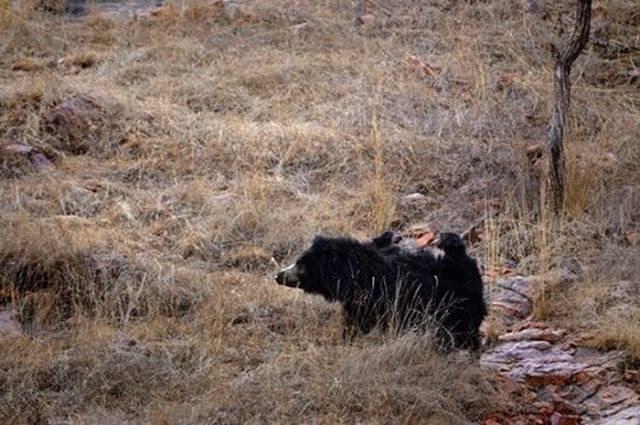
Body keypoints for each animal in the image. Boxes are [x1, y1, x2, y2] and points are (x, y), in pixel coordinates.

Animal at [276, 232, 484, 348]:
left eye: (301, 264)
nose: (278, 276)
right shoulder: (360, 300)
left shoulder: (377, 298)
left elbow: (360, 323)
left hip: (454, 306)